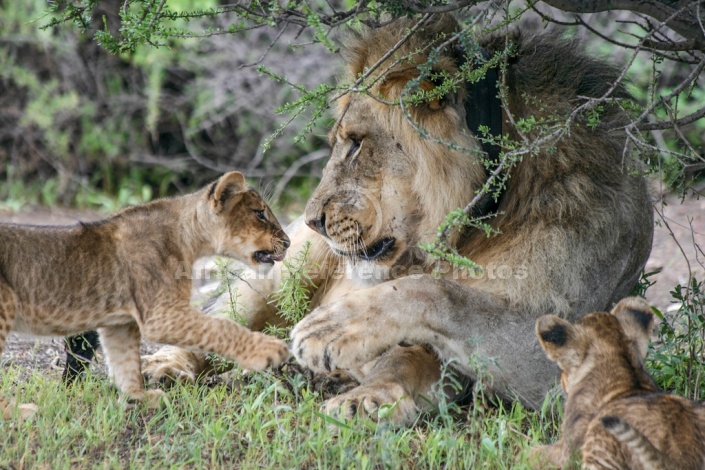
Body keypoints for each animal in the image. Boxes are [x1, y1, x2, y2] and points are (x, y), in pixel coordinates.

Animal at [67, 14, 656, 426]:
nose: (311, 219)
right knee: (219, 323)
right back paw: (163, 365)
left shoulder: (549, 359)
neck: (478, 215)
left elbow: (431, 300)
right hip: (283, 273)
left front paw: (359, 380)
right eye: (338, 142)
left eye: (354, 144)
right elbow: (424, 302)